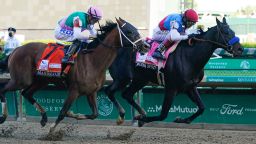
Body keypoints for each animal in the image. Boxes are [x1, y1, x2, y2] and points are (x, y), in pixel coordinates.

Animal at [0, 17, 144, 132]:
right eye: (129, 32)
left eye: (136, 30)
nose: (145, 46)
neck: (93, 61)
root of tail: (15, 50)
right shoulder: (73, 90)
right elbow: (63, 112)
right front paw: (52, 130)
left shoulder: (91, 92)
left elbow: (94, 114)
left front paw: (75, 114)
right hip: (21, 80)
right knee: (4, 90)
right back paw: (4, 117)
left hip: (40, 80)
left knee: (26, 93)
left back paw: (44, 118)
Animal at [105, 17, 243, 126]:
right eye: (226, 32)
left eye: (233, 31)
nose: (240, 49)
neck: (189, 57)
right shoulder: (171, 88)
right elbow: (163, 115)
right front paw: (141, 120)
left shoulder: (190, 87)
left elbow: (202, 107)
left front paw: (182, 119)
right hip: (122, 78)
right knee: (109, 91)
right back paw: (125, 116)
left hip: (140, 80)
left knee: (126, 94)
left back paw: (140, 113)